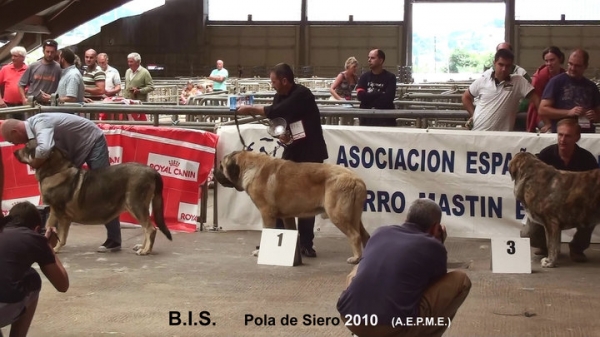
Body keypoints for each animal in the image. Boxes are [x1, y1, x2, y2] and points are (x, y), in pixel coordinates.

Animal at [14, 140, 172, 253]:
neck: (55, 171)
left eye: (27, 146)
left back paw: (146, 251)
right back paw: (142, 247)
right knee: (146, 228)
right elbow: (51, 228)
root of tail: (152, 171)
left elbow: (60, 235)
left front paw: (56, 249)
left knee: (150, 229)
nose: (15, 151)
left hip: (136, 205)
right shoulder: (55, 211)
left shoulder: (60, 213)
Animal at [213, 150, 368, 262]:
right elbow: (292, 232)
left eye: (221, 166)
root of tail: (357, 180)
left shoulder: (266, 213)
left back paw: (356, 258)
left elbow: (266, 232)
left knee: (355, 236)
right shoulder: (287, 217)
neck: (250, 167)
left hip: (337, 215)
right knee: (364, 235)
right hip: (354, 217)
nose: (214, 172)